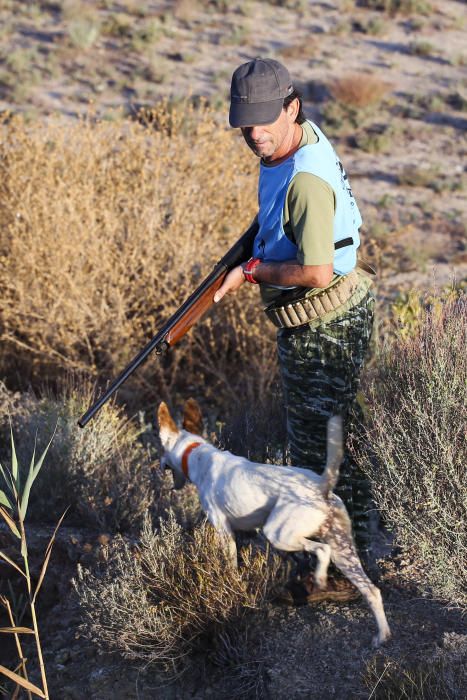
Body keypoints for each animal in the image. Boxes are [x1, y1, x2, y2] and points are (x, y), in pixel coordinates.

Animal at [159, 396, 394, 648]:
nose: (160, 464)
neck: (196, 453)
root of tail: (320, 485)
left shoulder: (224, 532)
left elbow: (231, 566)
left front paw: (232, 589)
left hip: (278, 533)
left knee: (322, 550)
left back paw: (320, 578)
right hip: (344, 552)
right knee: (371, 590)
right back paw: (382, 635)